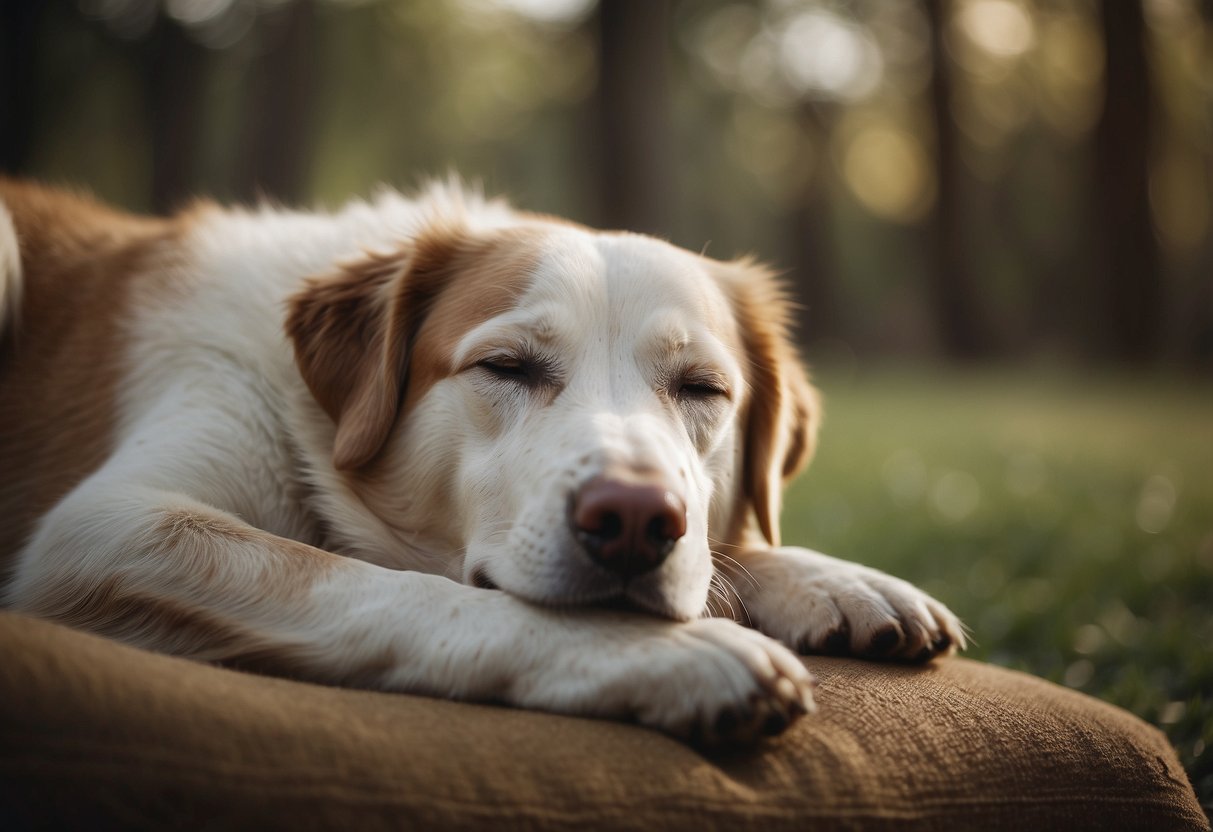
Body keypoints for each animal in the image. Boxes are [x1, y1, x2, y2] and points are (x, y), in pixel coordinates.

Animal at [2, 180, 965, 742]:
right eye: (506, 367)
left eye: (701, 388)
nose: (634, 519)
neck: (308, 420)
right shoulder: (110, 533)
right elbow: (399, 588)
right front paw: (665, 652)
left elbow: (731, 552)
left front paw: (831, 578)